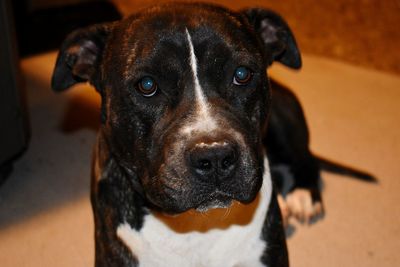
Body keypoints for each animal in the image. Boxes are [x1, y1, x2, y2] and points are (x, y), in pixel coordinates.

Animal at [50, 2, 376, 267]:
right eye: (147, 85)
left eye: (242, 74)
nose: (215, 155)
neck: (194, 228)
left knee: (306, 159)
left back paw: (302, 197)